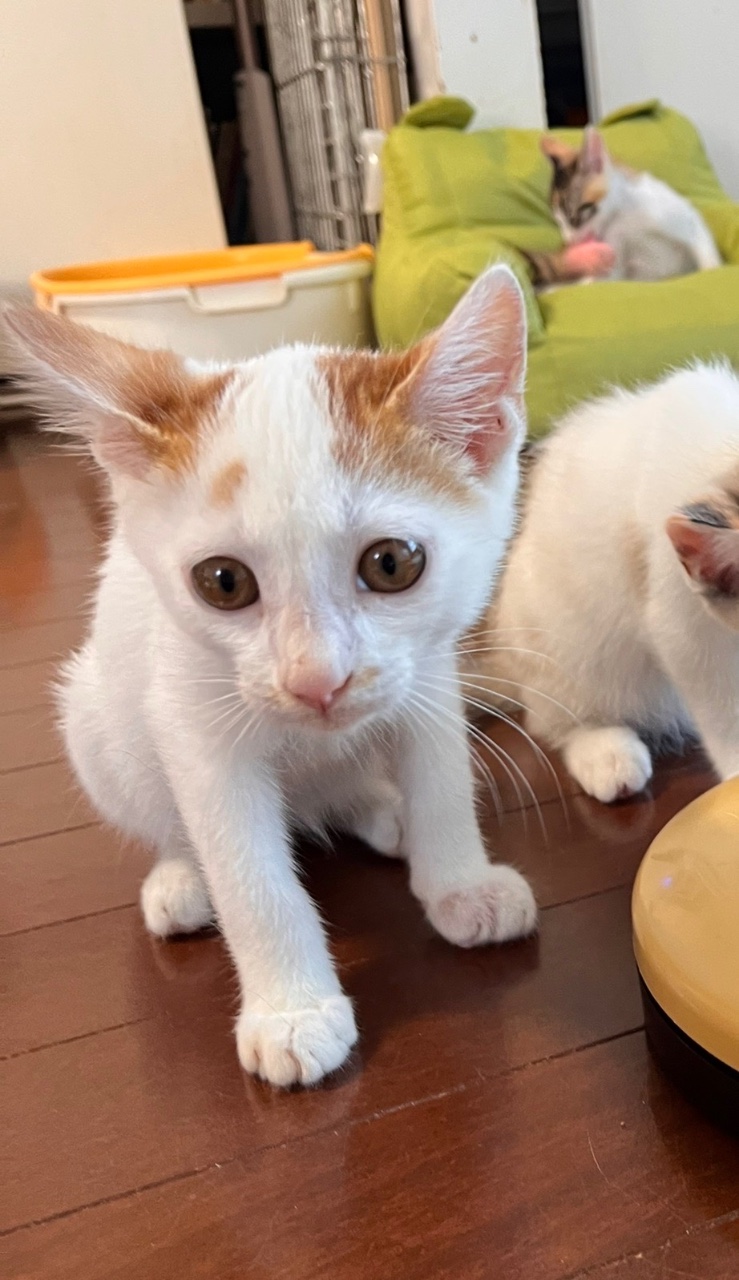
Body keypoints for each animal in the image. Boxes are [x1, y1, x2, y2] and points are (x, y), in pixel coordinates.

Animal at [4, 264, 537, 1089]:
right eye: (222, 582)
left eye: (392, 563)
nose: (317, 681)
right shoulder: (193, 720)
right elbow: (250, 875)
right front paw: (291, 1012)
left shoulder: (429, 672)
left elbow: (441, 772)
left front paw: (459, 882)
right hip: (93, 714)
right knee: (162, 810)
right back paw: (182, 877)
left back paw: (379, 810)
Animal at [526, 125, 721, 287]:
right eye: (559, 222)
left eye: (575, 218)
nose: (570, 241)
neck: (625, 218)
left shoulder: (686, 219)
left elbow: (706, 255)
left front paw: (714, 273)